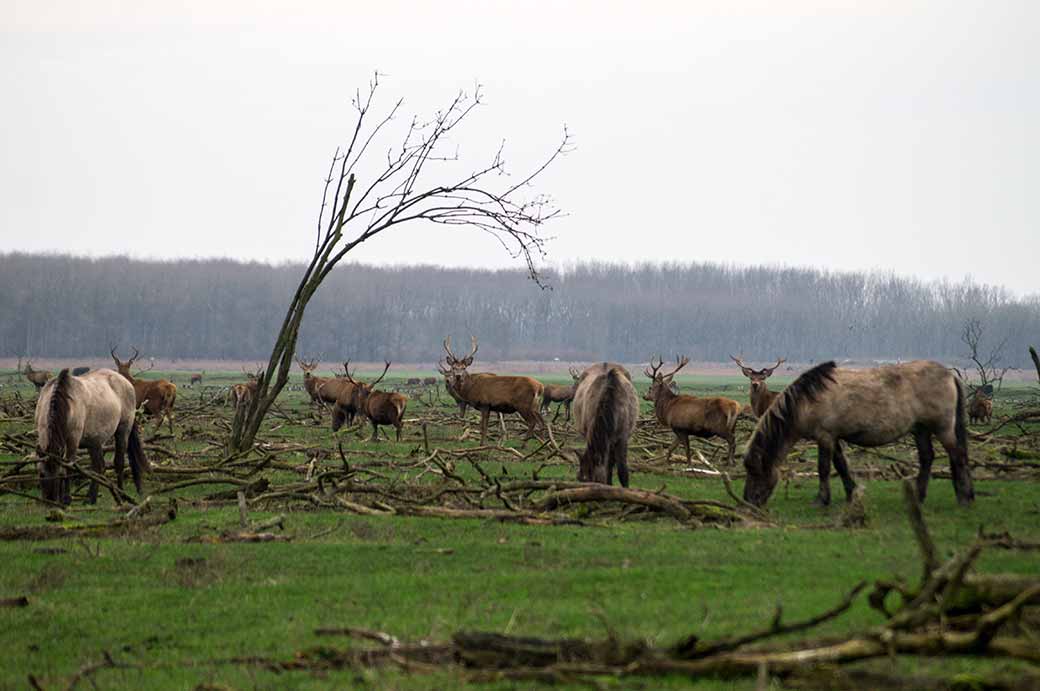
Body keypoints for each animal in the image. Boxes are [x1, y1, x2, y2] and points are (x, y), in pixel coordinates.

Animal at [33, 370, 148, 505]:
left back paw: (121, 494)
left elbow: (68, 466)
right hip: (94, 442)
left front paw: (66, 499)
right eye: (41, 474)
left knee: (119, 463)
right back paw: (91, 498)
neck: (65, 403)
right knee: (99, 466)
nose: (49, 500)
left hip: (122, 432)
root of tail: (127, 382)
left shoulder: (73, 440)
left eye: (58, 474)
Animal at [740, 362, 973, 507]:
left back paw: (964, 497)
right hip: (921, 429)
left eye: (755, 471)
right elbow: (841, 466)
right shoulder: (833, 438)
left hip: (943, 428)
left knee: (958, 455)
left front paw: (821, 499)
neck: (806, 400)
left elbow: (823, 468)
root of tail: (950, 375)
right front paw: (850, 494)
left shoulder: (825, 437)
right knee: (927, 458)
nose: (748, 501)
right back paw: (920, 496)